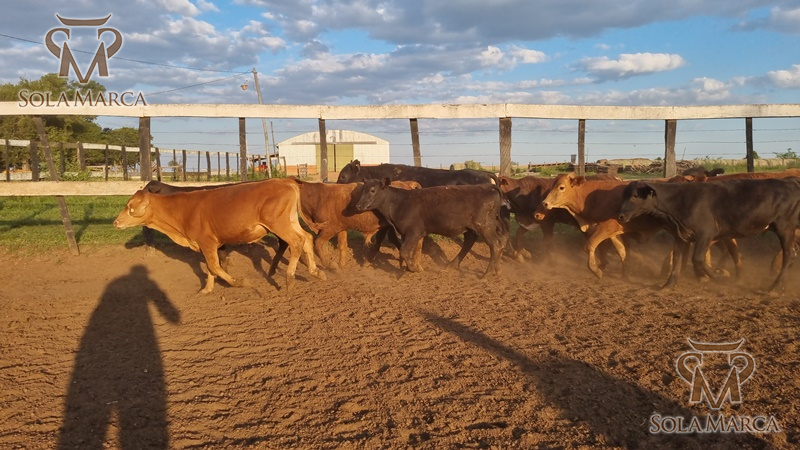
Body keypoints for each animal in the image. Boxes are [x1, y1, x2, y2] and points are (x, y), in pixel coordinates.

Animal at [113, 178, 326, 293]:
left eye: (130, 206)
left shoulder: (207, 242)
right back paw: (316, 271)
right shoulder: (206, 245)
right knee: (306, 238)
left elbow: (215, 267)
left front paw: (239, 282)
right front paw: (207, 289)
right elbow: (210, 267)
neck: (183, 209)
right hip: (289, 220)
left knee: (296, 242)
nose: (116, 222)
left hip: (279, 223)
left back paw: (290, 278)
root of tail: (285, 181)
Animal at [267, 179, 421, 274]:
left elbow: (318, 244)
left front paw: (331, 265)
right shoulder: (341, 228)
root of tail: (408, 184)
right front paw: (341, 265)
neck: (318, 196)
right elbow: (342, 246)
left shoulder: (329, 229)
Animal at [354, 178, 508, 277]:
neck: (399, 202)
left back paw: (487, 274)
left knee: (495, 245)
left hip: (485, 226)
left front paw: (413, 268)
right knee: (487, 241)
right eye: (362, 190)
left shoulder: (414, 232)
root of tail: (488, 187)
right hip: (478, 226)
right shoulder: (407, 234)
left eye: (372, 190)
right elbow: (408, 250)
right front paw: (408, 268)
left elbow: (404, 251)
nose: (358, 206)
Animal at [618, 178, 800, 292]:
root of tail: (791, 182)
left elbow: (697, 258)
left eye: (635, 195)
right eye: (624, 195)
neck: (680, 201)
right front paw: (668, 285)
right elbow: (677, 258)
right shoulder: (681, 236)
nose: (620, 215)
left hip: (785, 227)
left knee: (789, 255)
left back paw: (774, 288)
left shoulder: (705, 233)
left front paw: (717, 277)